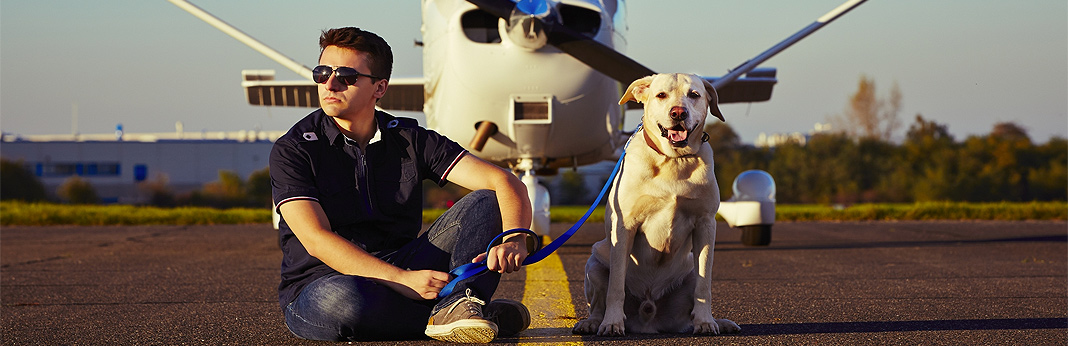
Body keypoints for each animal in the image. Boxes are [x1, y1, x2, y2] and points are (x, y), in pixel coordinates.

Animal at [572, 74, 739, 337]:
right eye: (661, 95)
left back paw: (718, 322)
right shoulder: (625, 226)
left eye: (694, 95)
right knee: (598, 303)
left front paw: (706, 322)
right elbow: (616, 286)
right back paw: (592, 323)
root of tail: (648, 319)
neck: (673, 160)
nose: (678, 112)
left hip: (688, 272)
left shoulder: (705, 224)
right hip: (595, 263)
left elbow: (704, 286)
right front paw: (612, 323)